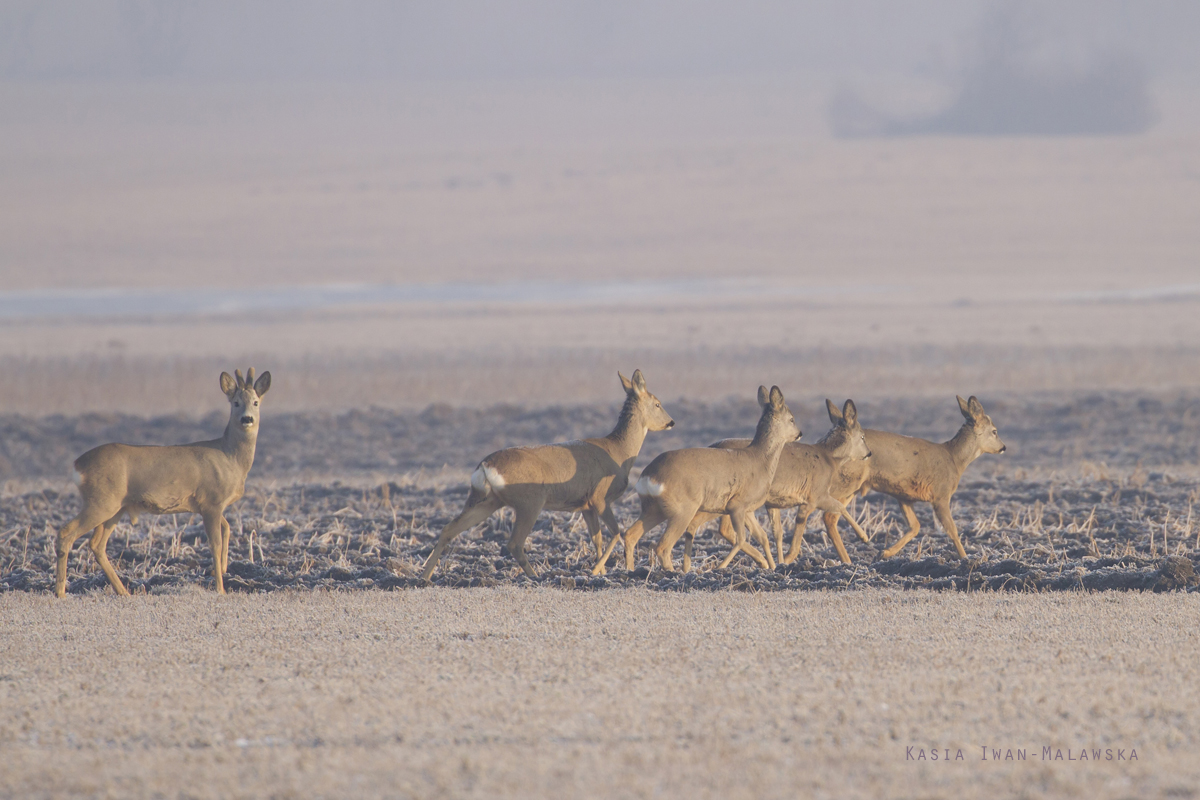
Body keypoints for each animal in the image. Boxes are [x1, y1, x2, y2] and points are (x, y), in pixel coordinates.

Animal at [55, 367, 270, 594]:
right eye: (236, 402)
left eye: (255, 402)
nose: (247, 419)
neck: (231, 458)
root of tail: (77, 465)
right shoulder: (212, 501)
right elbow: (214, 543)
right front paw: (220, 588)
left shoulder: (209, 505)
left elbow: (227, 528)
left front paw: (222, 568)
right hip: (100, 501)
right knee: (66, 533)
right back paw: (61, 593)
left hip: (115, 507)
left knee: (97, 544)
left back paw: (124, 592)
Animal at [420, 369, 676, 582]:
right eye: (657, 404)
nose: (671, 422)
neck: (618, 450)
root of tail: (484, 465)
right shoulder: (599, 497)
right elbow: (616, 533)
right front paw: (596, 571)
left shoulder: (585, 505)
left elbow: (597, 539)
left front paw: (600, 572)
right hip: (530, 501)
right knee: (514, 543)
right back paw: (535, 576)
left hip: (487, 500)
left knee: (449, 529)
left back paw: (425, 576)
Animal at [592, 383, 801, 573]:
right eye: (791, 419)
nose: (800, 434)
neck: (760, 460)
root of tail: (648, 476)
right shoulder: (737, 505)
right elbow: (741, 539)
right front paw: (721, 567)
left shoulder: (748, 509)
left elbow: (762, 536)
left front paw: (772, 566)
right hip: (682, 509)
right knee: (662, 546)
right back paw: (673, 573)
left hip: (653, 509)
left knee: (630, 535)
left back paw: (631, 571)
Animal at [686, 398, 873, 566]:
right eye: (863, 436)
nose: (869, 453)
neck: (829, 458)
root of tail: (712, 446)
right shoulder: (814, 497)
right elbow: (838, 508)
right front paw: (864, 537)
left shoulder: (775, 503)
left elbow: (778, 533)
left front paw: (780, 562)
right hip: (721, 500)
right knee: (704, 524)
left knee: (721, 529)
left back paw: (760, 561)